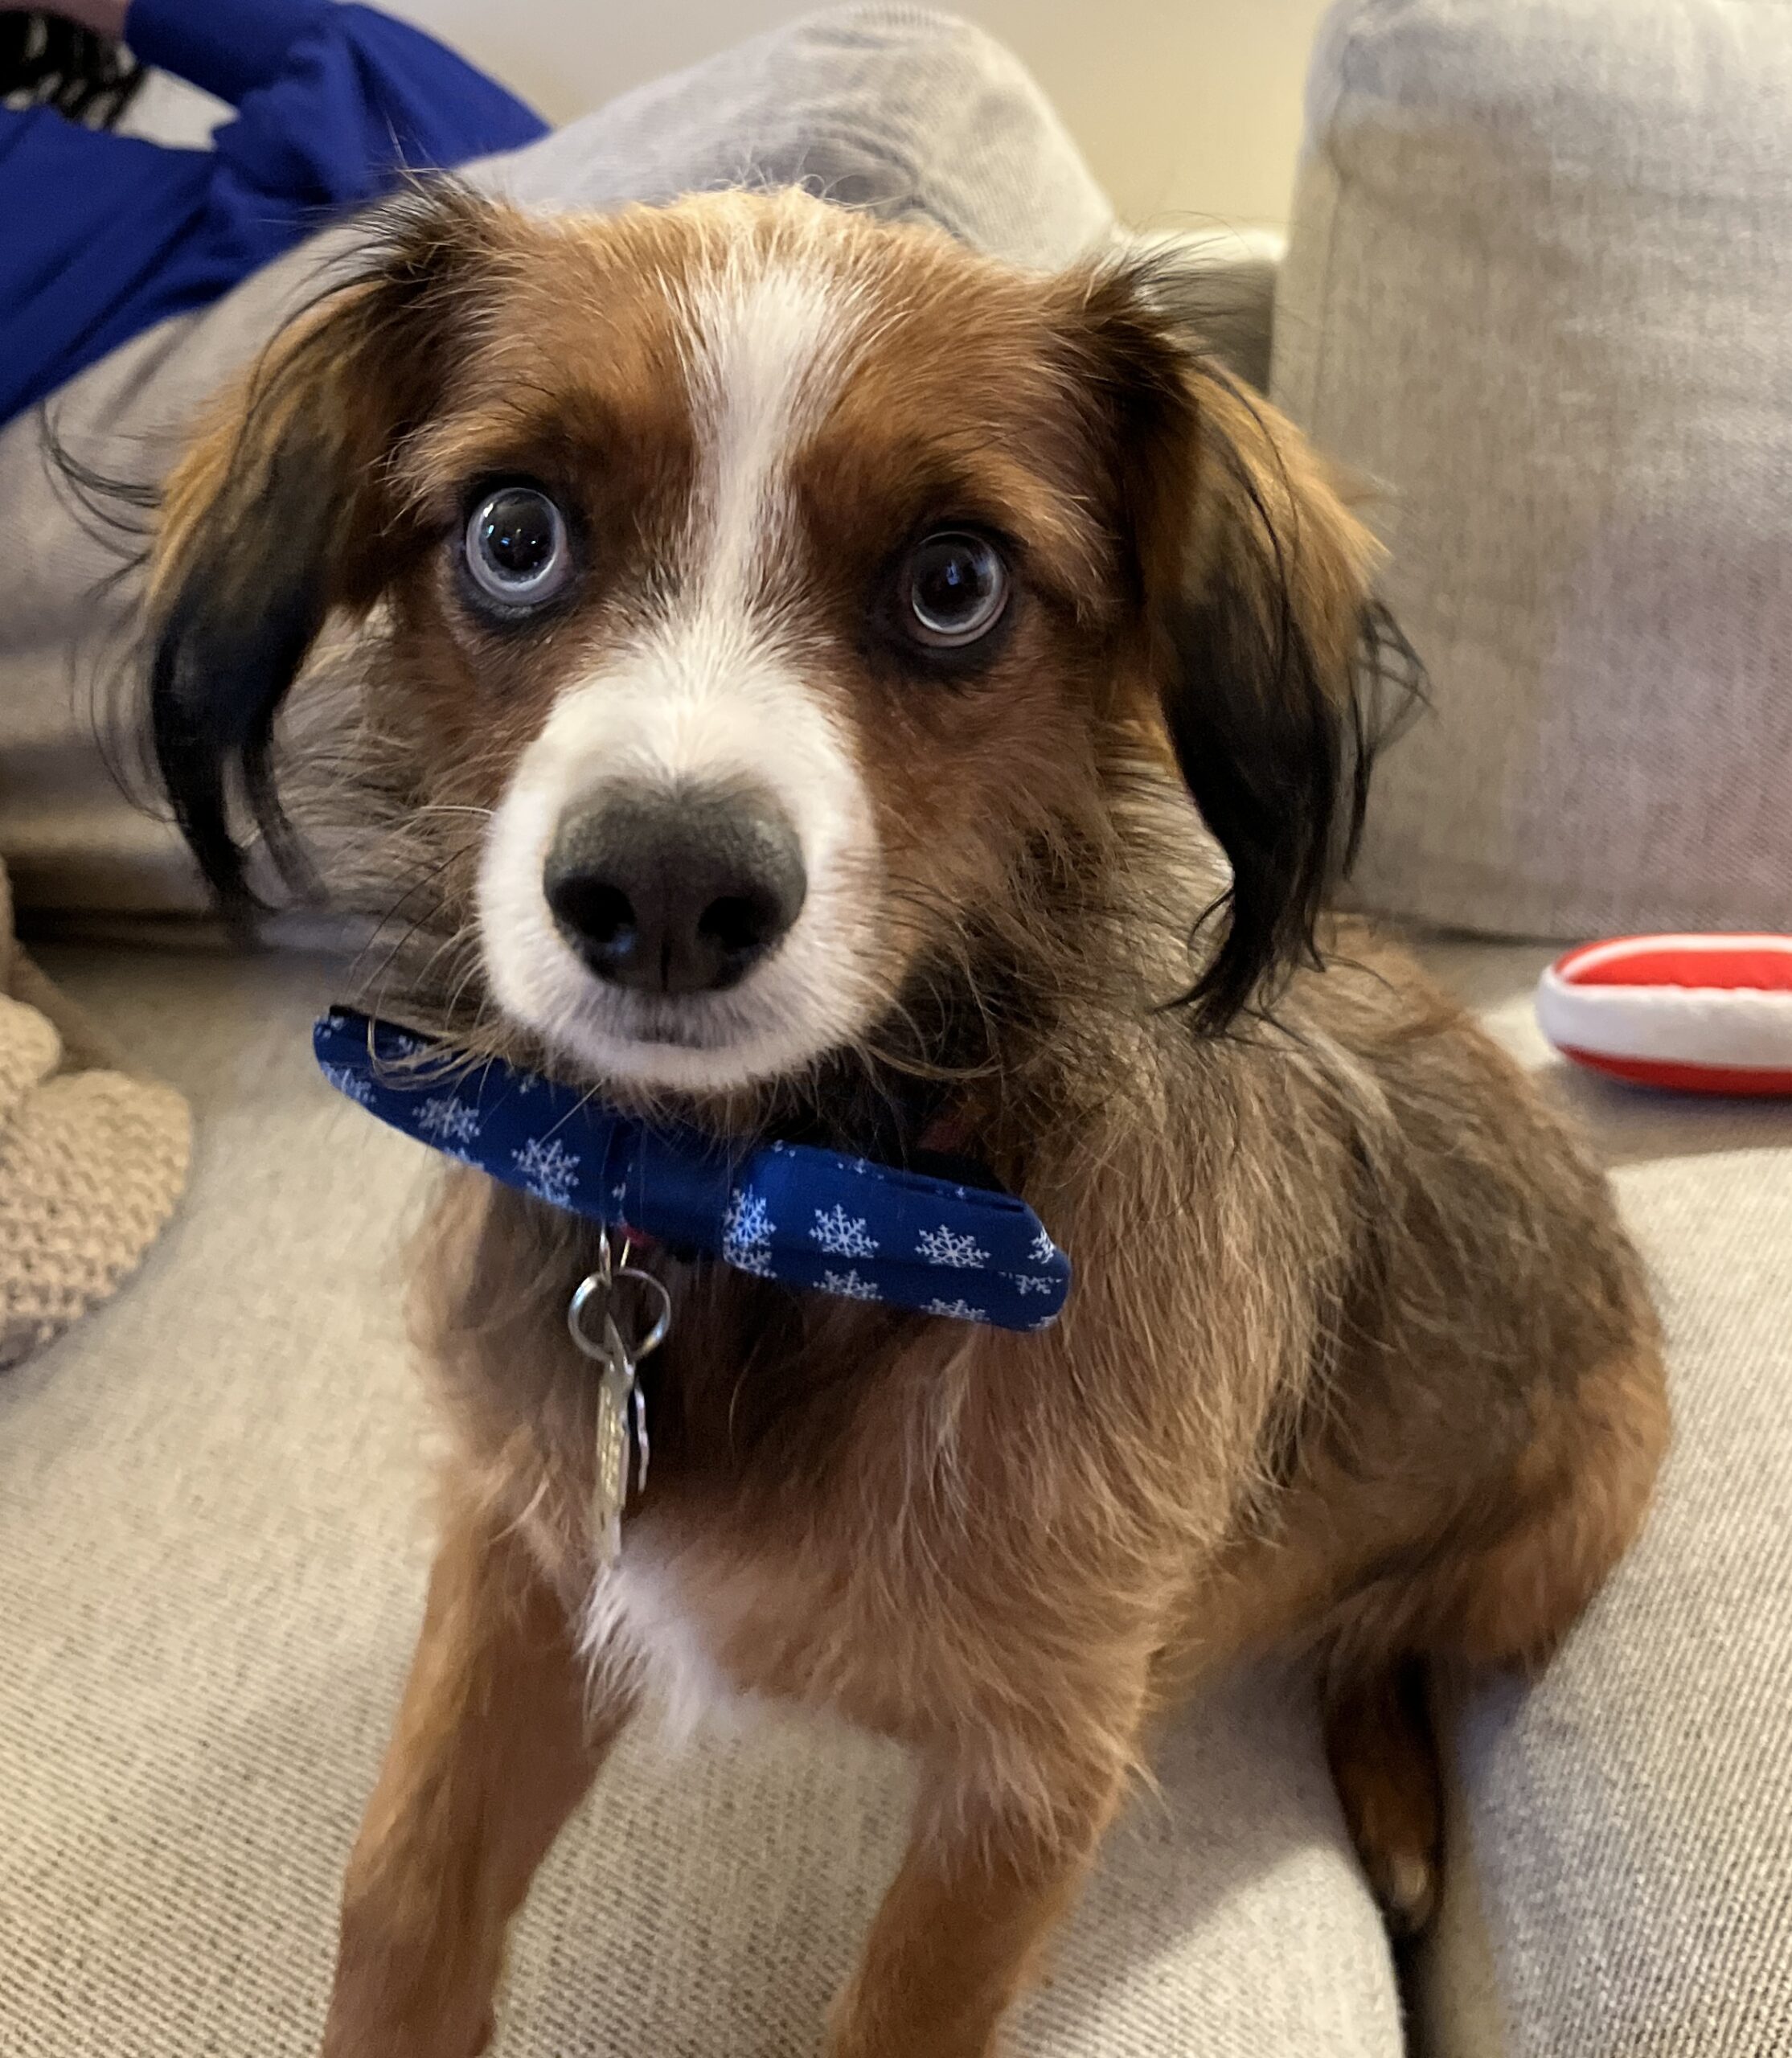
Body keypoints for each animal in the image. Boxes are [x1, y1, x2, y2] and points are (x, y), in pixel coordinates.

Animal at [144, 183, 1669, 2058]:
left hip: (1549, 1538)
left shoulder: (1032, 1770)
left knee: (1381, 1638)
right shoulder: (527, 1553)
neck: (758, 1202)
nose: (665, 889)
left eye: (954, 582)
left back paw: (1390, 1806)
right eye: (512, 534)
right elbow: (398, 1890)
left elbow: (898, 2013)